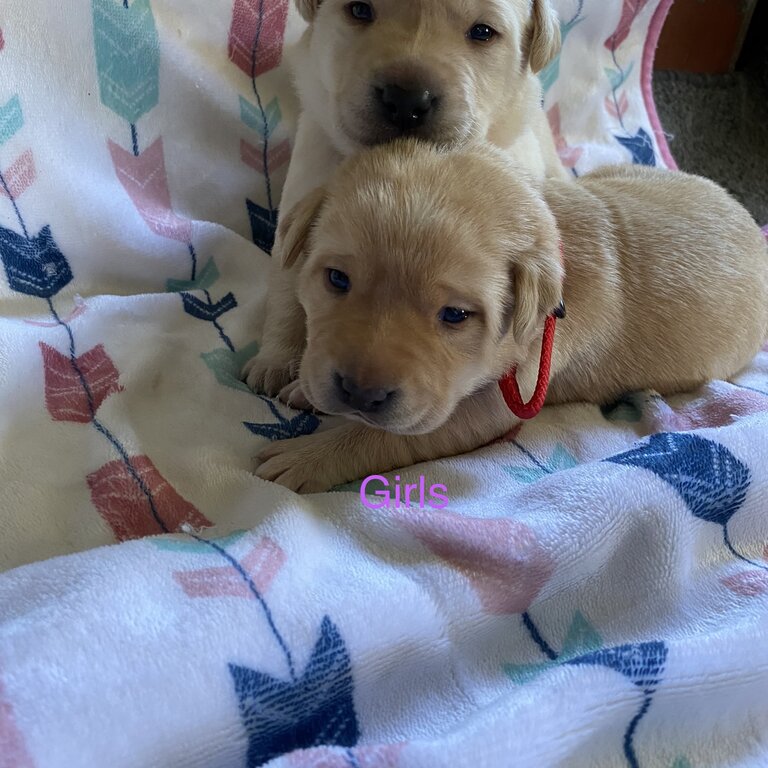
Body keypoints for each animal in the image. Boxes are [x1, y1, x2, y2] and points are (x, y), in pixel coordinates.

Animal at [243, 1, 568, 402]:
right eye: (359, 10)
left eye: (482, 32)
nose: (406, 100)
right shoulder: (302, 200)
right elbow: (288, 294)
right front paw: (275, 362)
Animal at [255, 138, 768, 492]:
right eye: (337, 279)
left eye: (456, 314)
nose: (361, 393)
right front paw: (302, 388)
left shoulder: (491, 401)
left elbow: (389, 435)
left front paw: (307, 457)